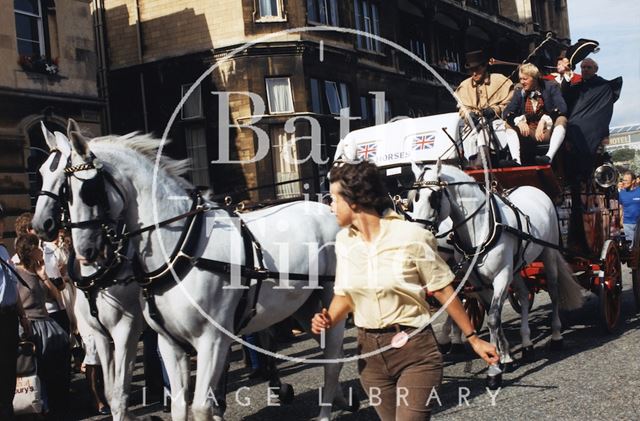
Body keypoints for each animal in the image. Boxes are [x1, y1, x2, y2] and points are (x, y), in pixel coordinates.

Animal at [31, 123, 144, 418]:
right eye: (41, 172)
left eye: (64, 178)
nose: (40, 225)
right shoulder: (99, 332)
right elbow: (110, 387)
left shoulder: (127, 327)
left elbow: (119, 390)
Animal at [60, 121, 350, 420]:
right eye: (65, 193)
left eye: (90, 190)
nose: (85, 251)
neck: (180, 250)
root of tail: (329, 210)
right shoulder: (170, 344)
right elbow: (179, 405)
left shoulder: (212, 339)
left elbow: (201, 407)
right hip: (305, 307)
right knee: (330, 352)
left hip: (331, 299)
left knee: (332, 359)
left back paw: (325, 413)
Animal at [408, 162, 584, 386]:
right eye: (413, 199)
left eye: (434, 197)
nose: (415, 238)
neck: (480, 230)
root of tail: (532, 188)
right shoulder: (479, 281)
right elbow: (494, 316)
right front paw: (504, 357)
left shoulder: (501, 276)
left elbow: (492, 318)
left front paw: (494, 370)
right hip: (516, 267)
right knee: (523, 295)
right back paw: (526, 344)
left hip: (548, 252)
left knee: (553, 291)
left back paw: (555, 336)